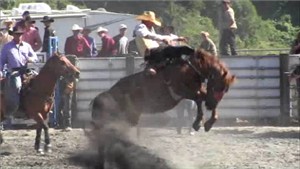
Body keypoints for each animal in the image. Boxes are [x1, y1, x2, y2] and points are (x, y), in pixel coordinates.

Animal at [90, 46, 236, 132]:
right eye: (218, 86)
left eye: (225, 90)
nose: (210, 106)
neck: (191, 69)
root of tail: (107, 93)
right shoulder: (182, 91)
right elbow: (199, 98)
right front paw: (198, 122)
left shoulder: (198, 91)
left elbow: (203, 98)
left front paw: (208, 123)